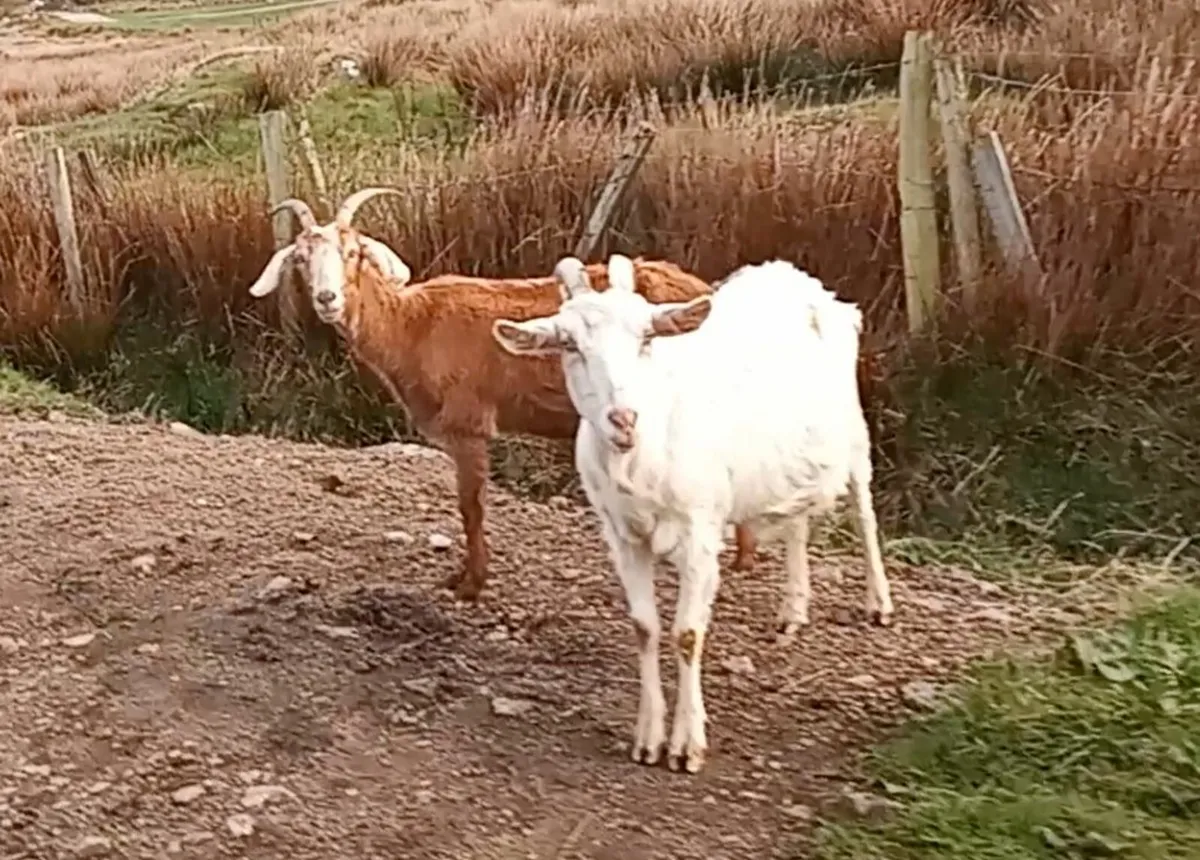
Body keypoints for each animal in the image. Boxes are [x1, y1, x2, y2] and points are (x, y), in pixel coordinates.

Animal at [246, 187, 761, 601]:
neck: (414, 324)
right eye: (300, 260)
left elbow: (470, 507)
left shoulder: (468, 425)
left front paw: (470, 583)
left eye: (353, 252)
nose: (327, 299)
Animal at [492, 253, 894, 773]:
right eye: (570, 345)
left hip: (852, 429)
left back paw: (879, 603)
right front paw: (647, 739)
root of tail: (791, 274)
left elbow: (686, 634)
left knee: (864, 507)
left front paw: (686, 745)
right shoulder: (622, 537)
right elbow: (644, 628)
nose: (624, 420)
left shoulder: (702, 532)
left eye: (646, 338)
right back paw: (792, 610)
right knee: (796, 523)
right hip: (788, 460)